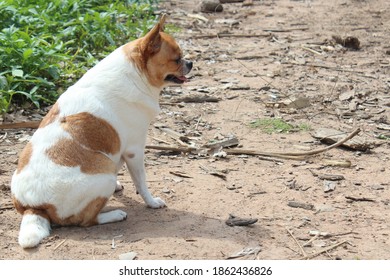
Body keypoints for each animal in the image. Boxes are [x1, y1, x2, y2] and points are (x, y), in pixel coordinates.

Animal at [11, 14, 193, 248]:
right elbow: (141, 182)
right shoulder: (134, 150)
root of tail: (33, 207)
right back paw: (114, 215)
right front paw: (151, 202)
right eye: (177, 59)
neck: (136, 74)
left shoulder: (119, 149)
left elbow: (123, 168)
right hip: (103, 175)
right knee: (86, 221)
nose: (190, 62)